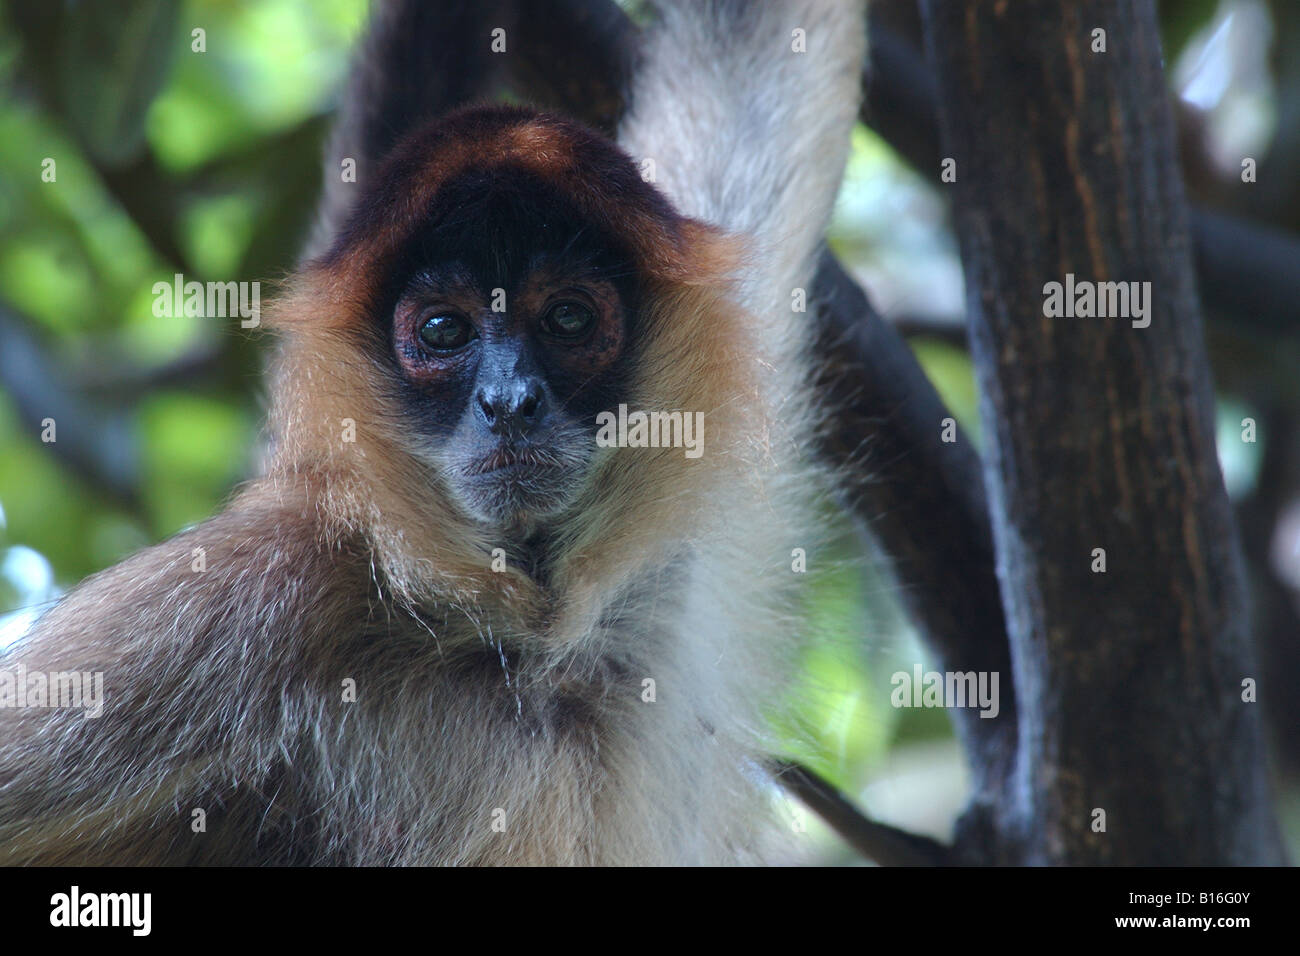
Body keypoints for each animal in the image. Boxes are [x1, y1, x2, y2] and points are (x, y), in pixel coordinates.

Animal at [0, 0, 865, 865]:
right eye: (444, 331)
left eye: (569, 319)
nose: (508, 401)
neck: (532, 645)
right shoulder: (271, 588)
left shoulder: (668, 566)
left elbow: (759, 53)